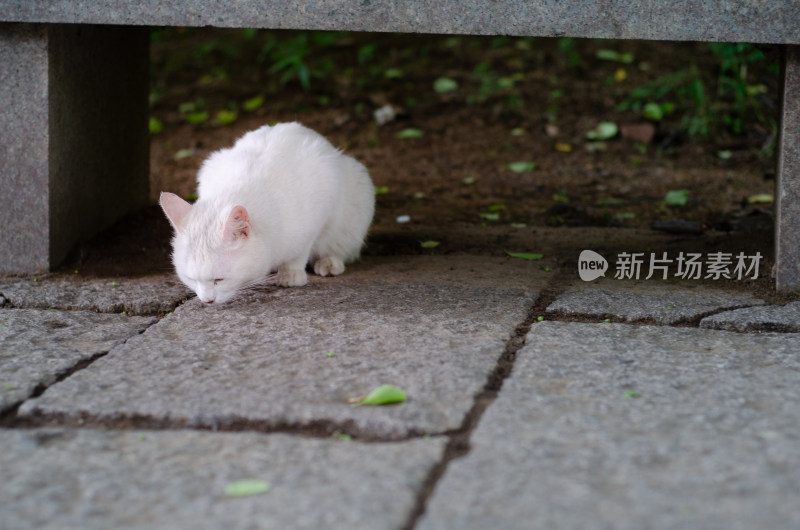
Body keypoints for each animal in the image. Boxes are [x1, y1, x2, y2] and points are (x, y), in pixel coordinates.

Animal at [162, 121, 378, 304]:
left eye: (219, 279)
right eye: (191, 279)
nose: (207, 301)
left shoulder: (318, 213)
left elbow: (300, 252)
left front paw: (291, 273)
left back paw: (329, 262)